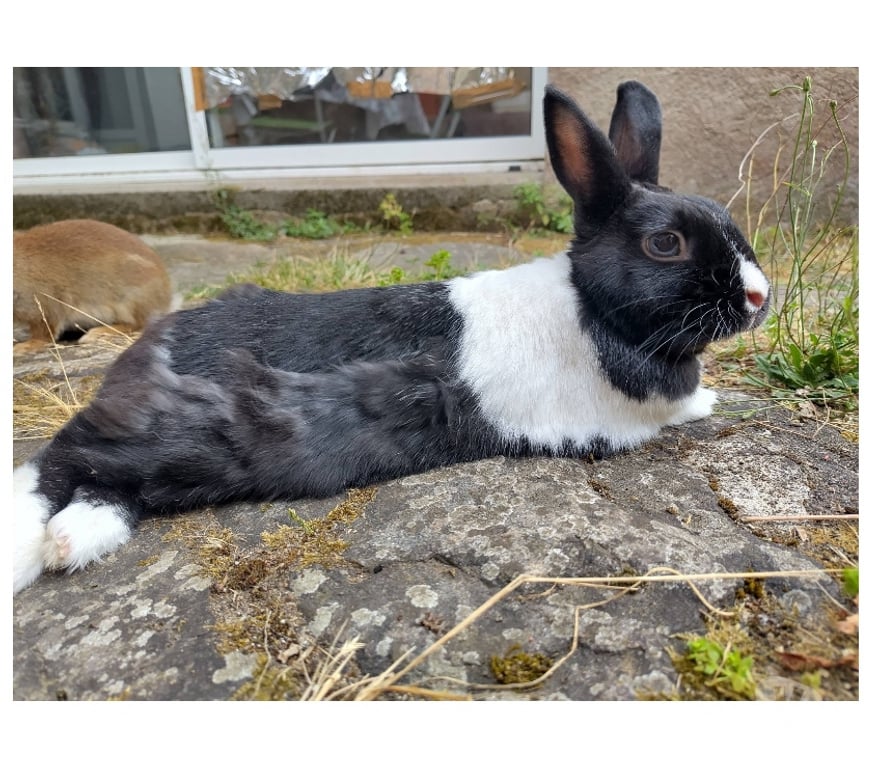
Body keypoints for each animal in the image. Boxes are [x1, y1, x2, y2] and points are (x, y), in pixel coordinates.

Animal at [13, 219, 172, 351]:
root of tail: (165, 297)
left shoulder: (42, 306)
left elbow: (44, 333)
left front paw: (22, 348)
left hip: (128, 301)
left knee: (137, 324)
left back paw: (97, 334)